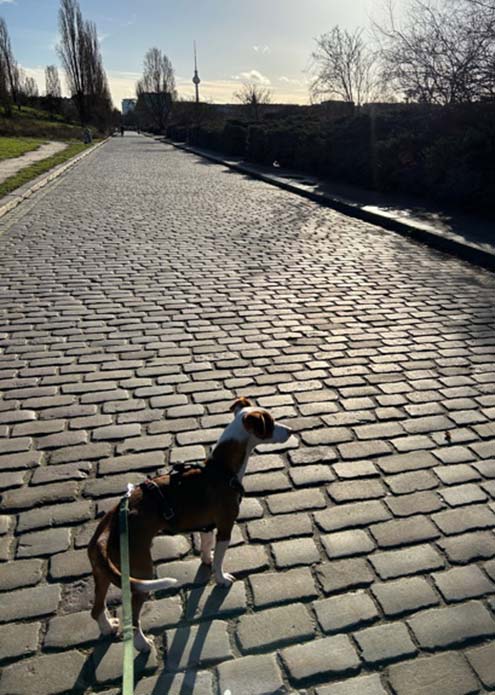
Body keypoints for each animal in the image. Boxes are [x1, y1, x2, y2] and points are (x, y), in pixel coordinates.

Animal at [87, 396, 292, 652]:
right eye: (271, 424)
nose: (291, 431)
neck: (222, 468)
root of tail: (109, 524)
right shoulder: (225, 526)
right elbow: (221, 559)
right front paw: (221, 578)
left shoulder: (207, 527)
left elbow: (206, 548)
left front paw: (207, 560)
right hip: (141, 572)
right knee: (132, 614)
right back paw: (141, 643)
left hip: (103, 574)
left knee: (96, 608)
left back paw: (107, 627)